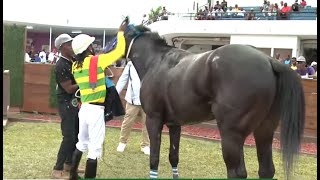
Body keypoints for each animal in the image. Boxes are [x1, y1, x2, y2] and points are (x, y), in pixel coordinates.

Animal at [121, 24, 304, 179]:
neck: (158, 61)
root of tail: (269, 60)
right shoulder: (175, 124)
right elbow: (173, 157)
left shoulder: (154, 119)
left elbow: (154, 158)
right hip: (263, 131)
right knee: (265, 170)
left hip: (231, 134)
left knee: (236, 172)